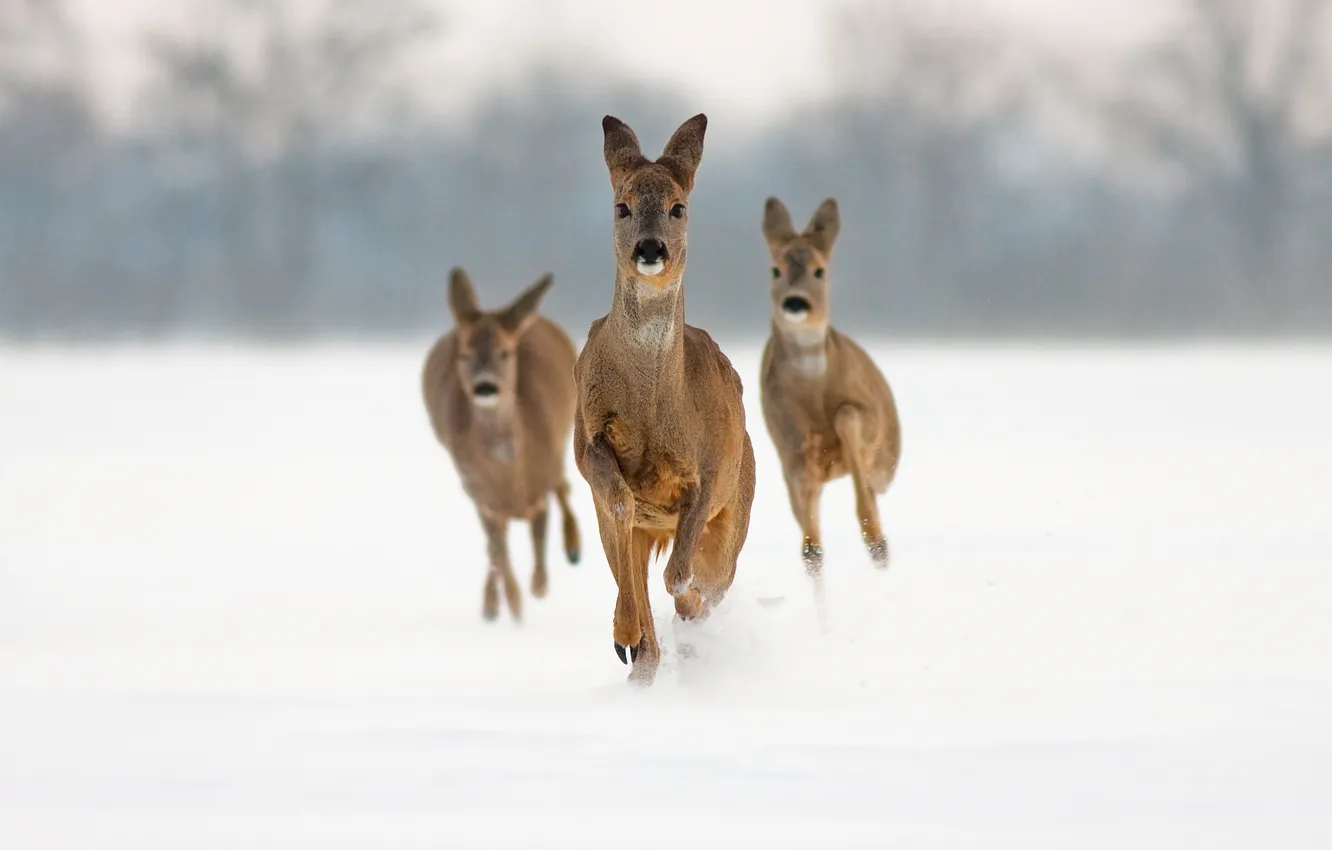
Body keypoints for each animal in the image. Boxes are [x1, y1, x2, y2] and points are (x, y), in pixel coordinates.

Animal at [422, 267, 581, 622]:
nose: (484, 387)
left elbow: (539, 540)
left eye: (505, 353)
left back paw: (573, 547)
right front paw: (514, 608)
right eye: (464, 355)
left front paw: (538, 587)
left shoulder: (539, 483)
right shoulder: (481, 496)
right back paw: (492, 605)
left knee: (564, 486)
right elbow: (500, 555)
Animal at [573, 113, 757, 685]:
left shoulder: (711, 469)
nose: (650, 249)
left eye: (679, 207)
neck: (654, 407)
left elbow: (681, 575)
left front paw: (686, 613)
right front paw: (627, 637)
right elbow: (619, 500)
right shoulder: (586, 440)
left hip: (738, 508)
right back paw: (635, 650)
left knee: (707, 578)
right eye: (622, 206)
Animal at [758, 197, 901, 589]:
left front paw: (875, 538)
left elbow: (847, 415)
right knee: (813, 547)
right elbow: (811, 549)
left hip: (887, 461)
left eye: (819, 270)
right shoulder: (789, 449)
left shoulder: (867, 416)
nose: (795, 303)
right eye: (775, 270)